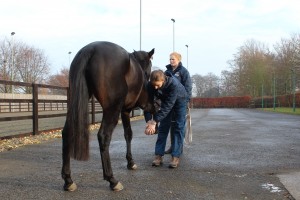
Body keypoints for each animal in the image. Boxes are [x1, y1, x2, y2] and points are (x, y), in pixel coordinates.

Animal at [61, 41, 155, 191]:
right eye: (150, 64)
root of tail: (91, 49)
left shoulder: (124, 111)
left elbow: (127, 134)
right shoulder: (125, 110)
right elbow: (129, 134)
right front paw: (130, 162)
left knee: (67, 132)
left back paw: (68, 180)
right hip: (112, 109)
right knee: (104, 136)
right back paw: (112, 180)